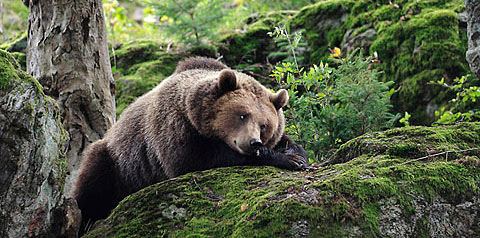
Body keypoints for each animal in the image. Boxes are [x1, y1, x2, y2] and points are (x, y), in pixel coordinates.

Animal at [73, 56, 310, 230]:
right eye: (242, 115)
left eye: (264, 125)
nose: (253, 143)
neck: (193, 113)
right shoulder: (174, 129)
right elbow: (194, 161)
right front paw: (288, 159)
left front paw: (297, 154)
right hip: (116, 163)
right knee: (92, 186)